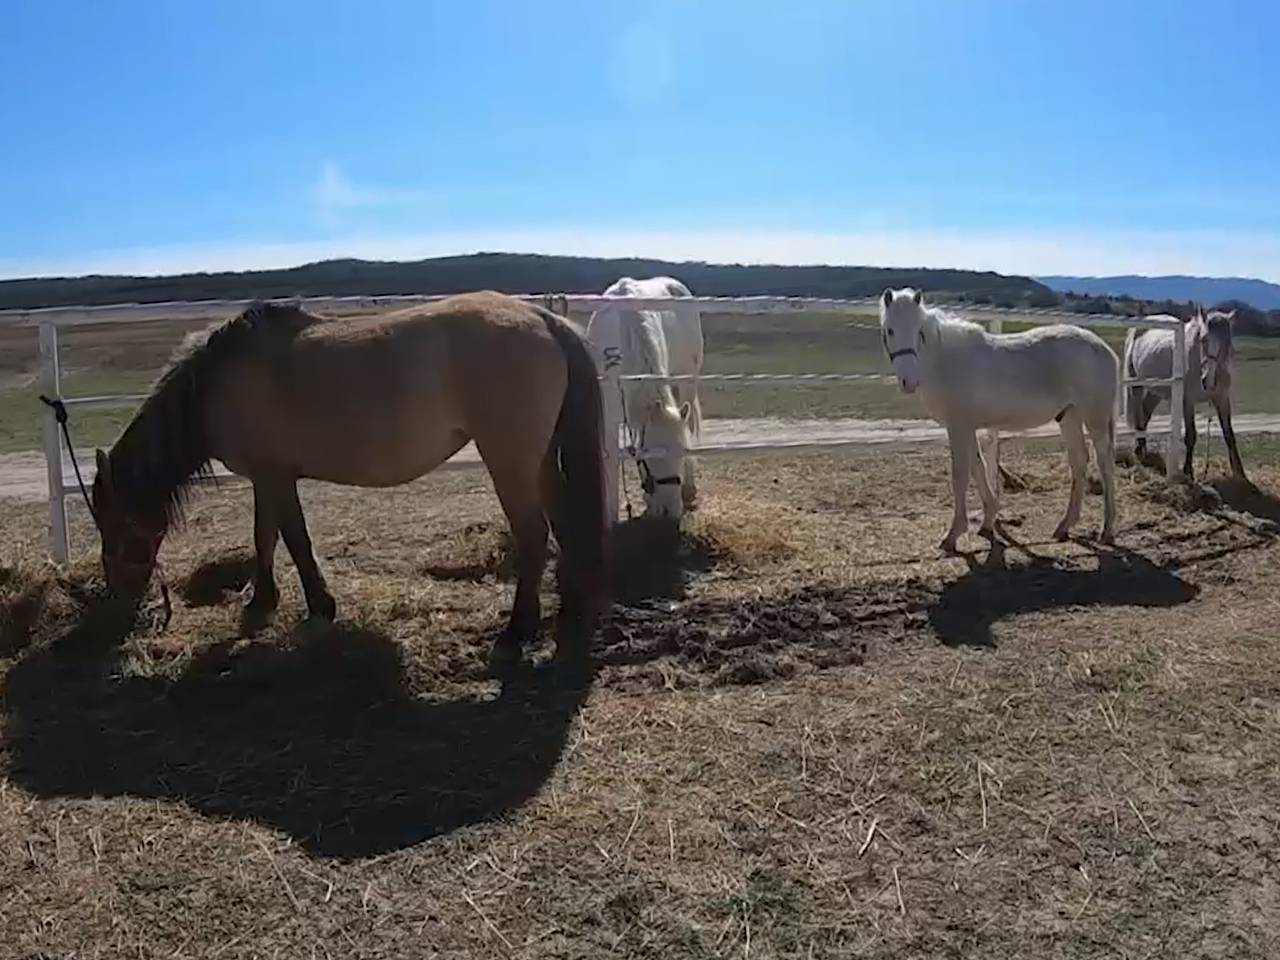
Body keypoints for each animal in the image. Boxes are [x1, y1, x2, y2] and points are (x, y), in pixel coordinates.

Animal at [90, 293, 609, 660]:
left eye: (115, 529)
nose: (118, 605)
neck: (217, 383)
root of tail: (542, 317)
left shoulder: (275, 477)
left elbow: (293, 539)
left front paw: (319, 606)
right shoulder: (266, 478)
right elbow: (265, 537)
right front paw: (262, 601)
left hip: (509, 461)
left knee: (535, 534)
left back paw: (518, 631)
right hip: (540, 459)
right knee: (564, 522)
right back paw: (570, 608)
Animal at [880, 288, 1121, 547]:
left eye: (919, 332)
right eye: (890, 330)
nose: (908, 381)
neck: (945, 362)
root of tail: (1104, 349)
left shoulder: (958, 426)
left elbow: (960, 474)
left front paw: (953, 534)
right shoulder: (967, 427)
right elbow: (978, 467)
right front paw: (987, 521)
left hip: (1095, 418)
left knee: (1105, 464)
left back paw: (1107, 530)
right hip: (1069, 417)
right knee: (1079, 462)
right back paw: (1064, 526)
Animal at [1126, 305, 1244, 481]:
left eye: (1226, 342)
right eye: (1203, 339)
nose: (1208, 380)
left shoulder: (1222, 399)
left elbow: (1229, 434)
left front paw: (1240, 472)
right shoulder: (1187, 401)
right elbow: (1191, 436)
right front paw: (1188, 470)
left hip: (1157, 390)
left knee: (1145, 412)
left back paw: (1143, 448)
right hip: (1137, 384)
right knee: (1138, 414)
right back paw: (1138, 450)